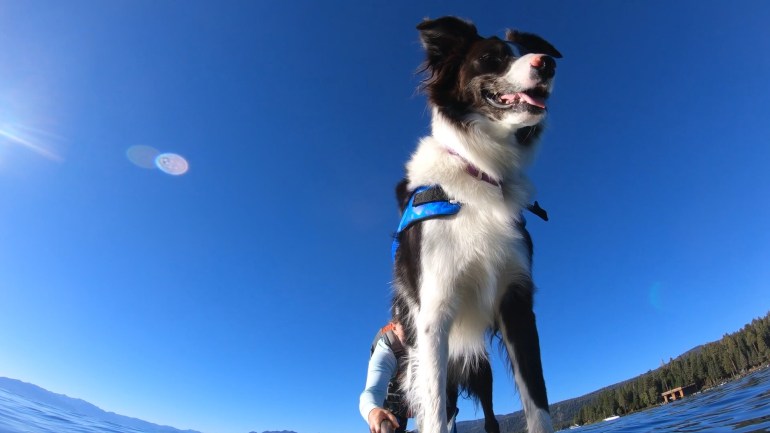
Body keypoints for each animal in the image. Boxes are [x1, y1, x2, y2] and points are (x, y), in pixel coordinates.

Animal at [390, 16, 561, 433]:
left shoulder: (518, 302)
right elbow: (434, 415)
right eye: (490, 58)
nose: (548, 63)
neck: (481, 170)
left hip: (479, 368)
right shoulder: (433, 316)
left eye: (530, 50)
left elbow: (538, 401)